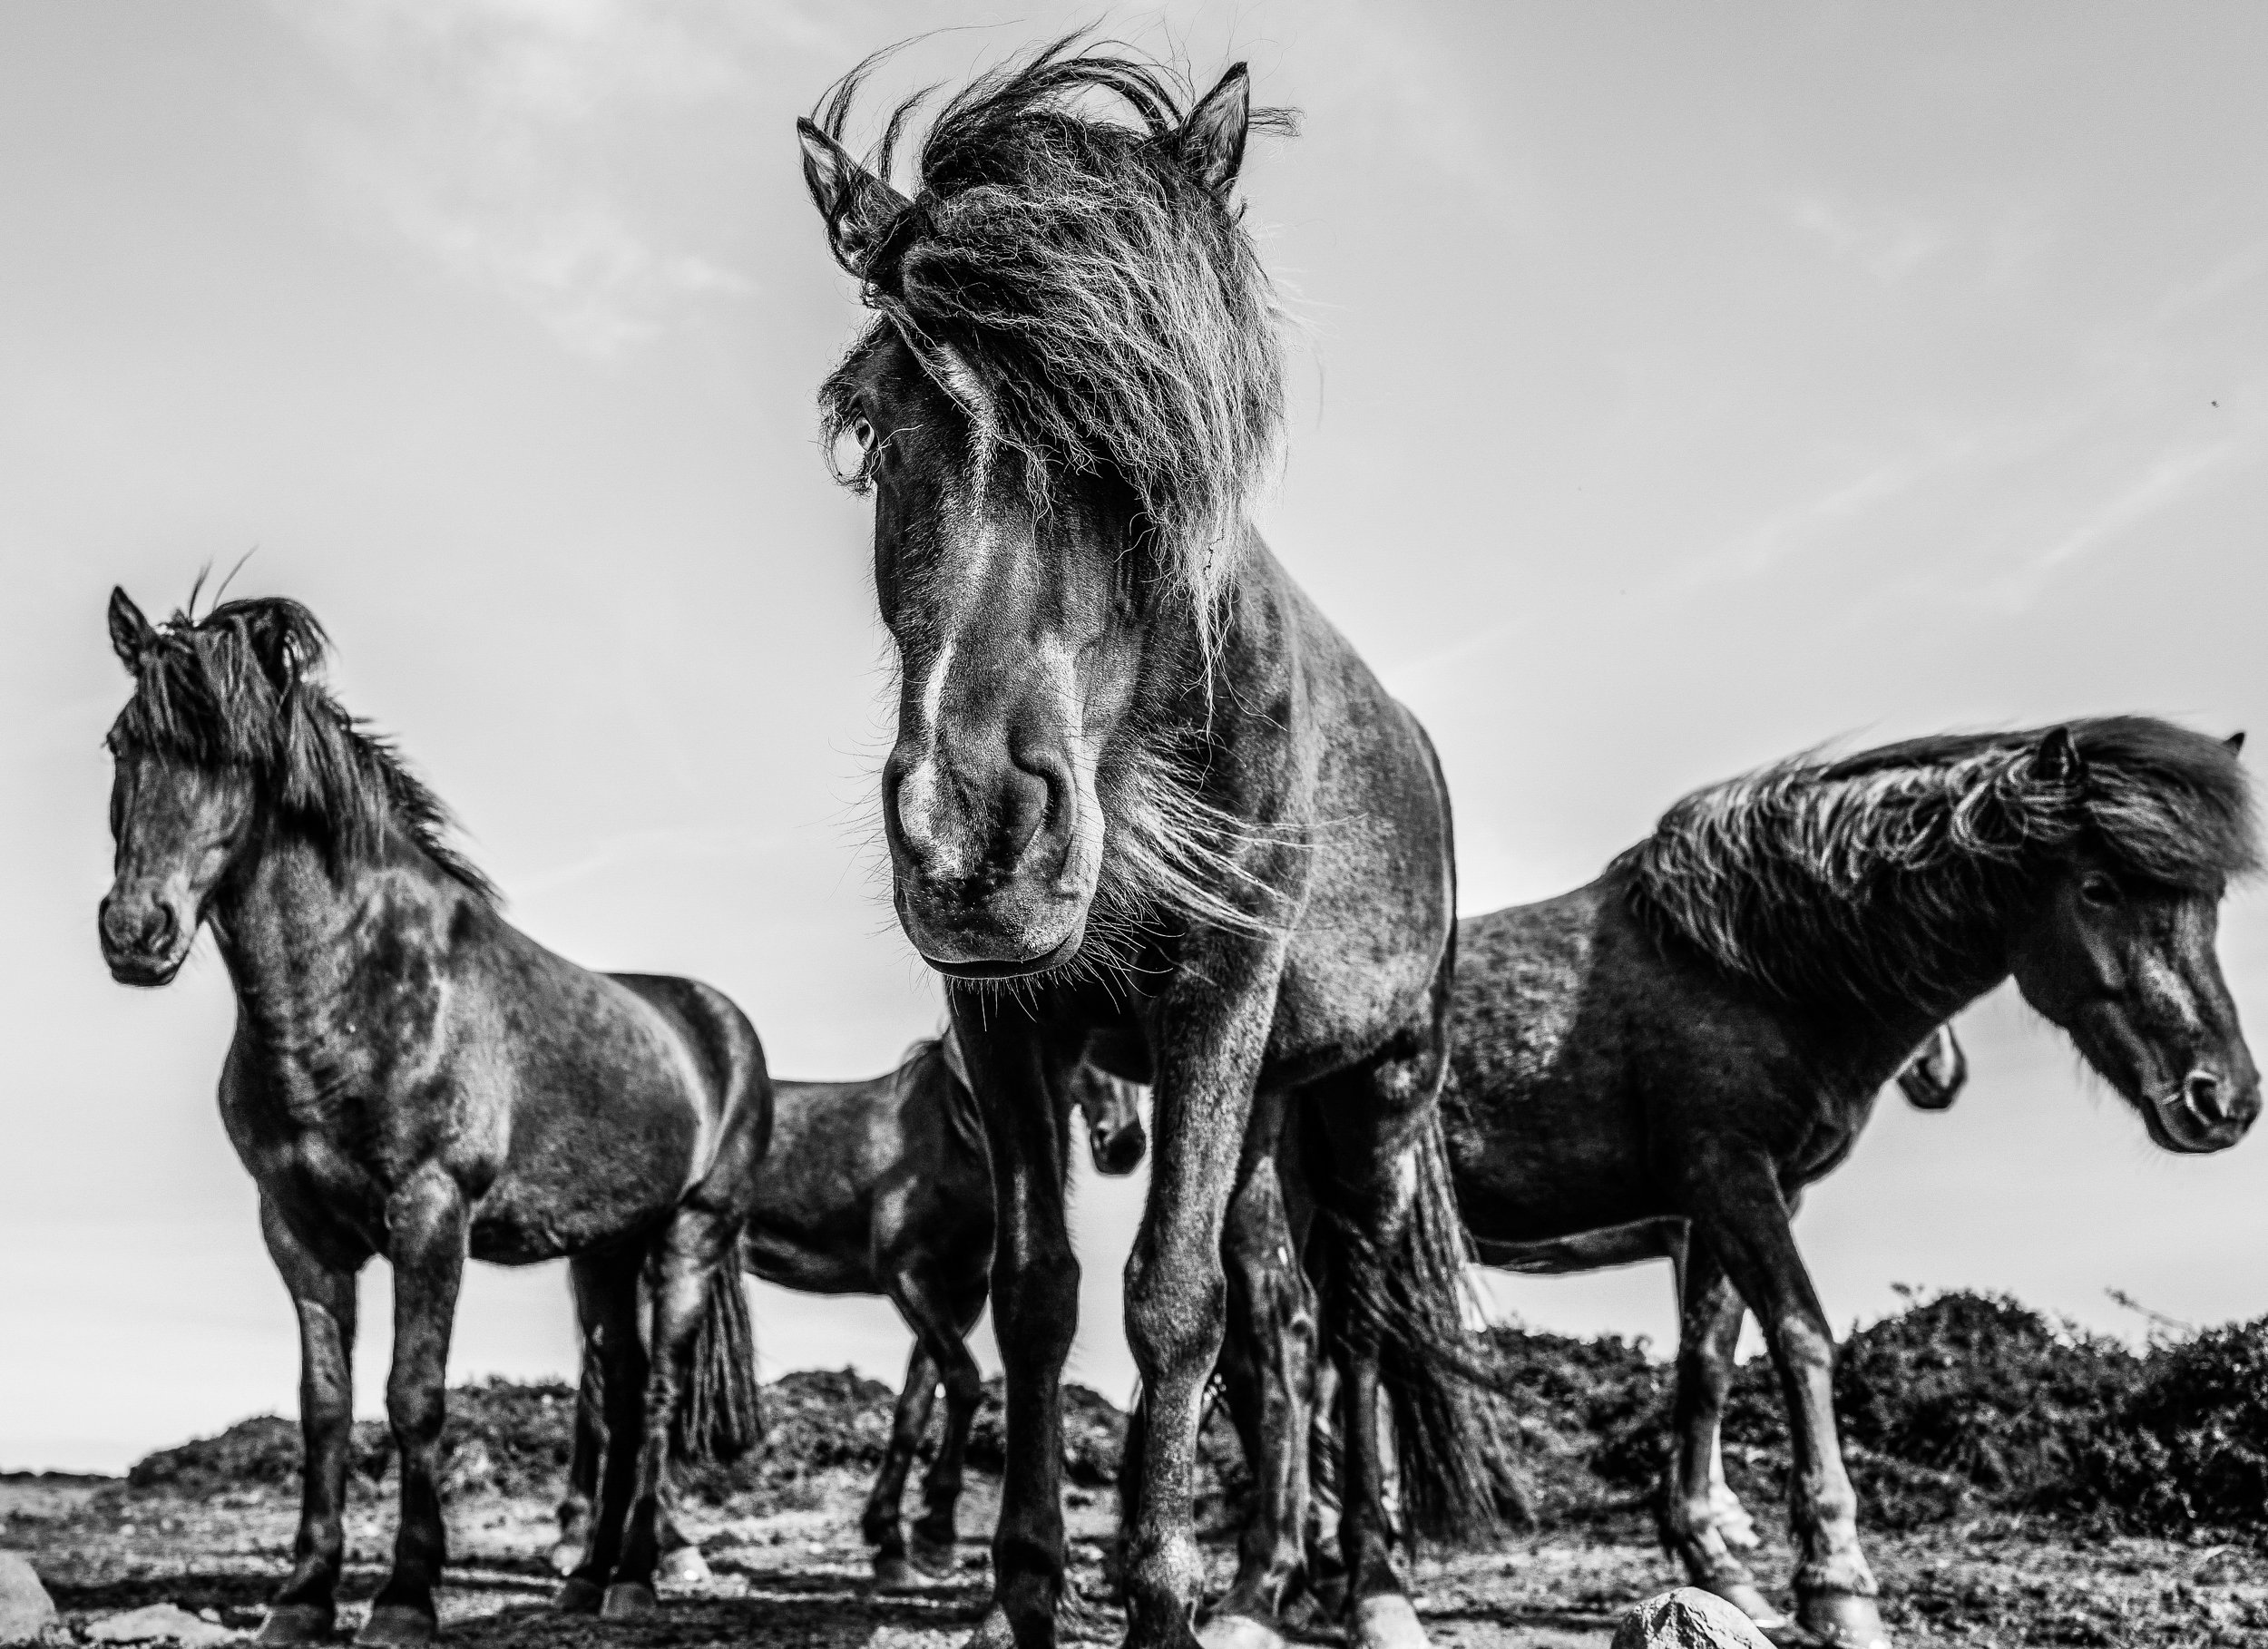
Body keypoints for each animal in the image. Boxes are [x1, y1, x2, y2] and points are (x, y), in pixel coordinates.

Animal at [100, 594, 771, 1649]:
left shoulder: (430, 1216)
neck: (357, 986)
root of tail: (718, 1023)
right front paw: (304, 1596)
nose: (136, 931)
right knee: (618, 1395)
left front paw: (406, 1595)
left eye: (237, 757)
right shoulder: (295, 1230)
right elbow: (326, 1409)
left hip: (688, 1240)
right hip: (604, 1251)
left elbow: (414, 1397)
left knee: (659, 1393)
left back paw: (633, 1578)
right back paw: (586, 1579)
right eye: (121, 742)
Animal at [551, 1039, 1152, 1596]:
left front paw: (889, 1543)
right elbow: (963, 1381)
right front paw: (935, 1535)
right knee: (612, 1396)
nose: (1123, 1145)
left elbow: (915, 1404)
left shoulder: (961, 1295)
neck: (953, 1138)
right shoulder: (907, 1273)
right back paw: (643, 1546)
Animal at [794, 38, 1488, 1649]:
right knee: (1281, 1313)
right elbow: (1041, 1295)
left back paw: (1367, 1580)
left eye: (1162, 434)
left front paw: (1156, 1590)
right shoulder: (1004, 1020)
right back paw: (1266, 1570)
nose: (973, 838)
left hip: (1377, 1089)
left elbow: (1170, 1297)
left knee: (1357, 1323)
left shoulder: (1218, 995)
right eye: (868, 426)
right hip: (1270, 1106)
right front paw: (1027, 1590)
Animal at [1234, 721, 2259, 1649]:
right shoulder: (1729, 1179)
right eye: (2098, 887)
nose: (2225, 1099)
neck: (1754, 970)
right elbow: (1802, 1338)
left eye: (2210, 901)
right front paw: (1837, 1585)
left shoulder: (1725, 1207)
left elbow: (1707, 1367)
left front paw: (1719, 1565)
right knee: (1295, 1355)